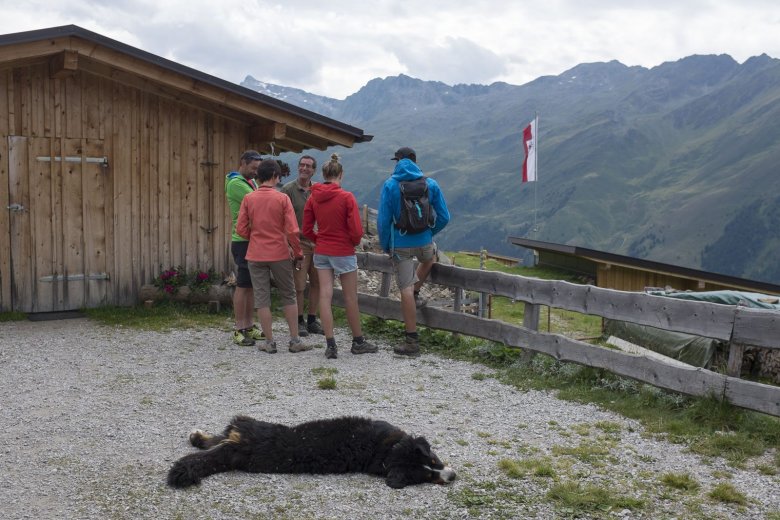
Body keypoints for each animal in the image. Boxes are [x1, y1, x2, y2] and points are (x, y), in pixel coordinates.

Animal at [166, 416, 458, 490]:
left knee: (218, 439)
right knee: (218, 445)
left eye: (434, 461)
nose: (452, 476)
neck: (388, 450)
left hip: (236, 433)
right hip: (236, 441)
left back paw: (198, 437)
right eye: (426, 475)